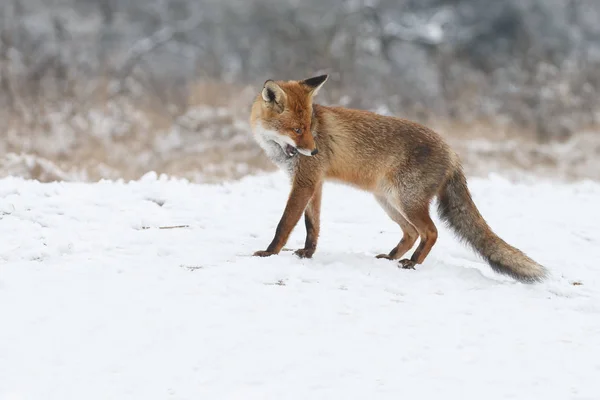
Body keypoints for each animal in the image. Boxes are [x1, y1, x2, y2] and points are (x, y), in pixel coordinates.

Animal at [248, 73, 548, 282]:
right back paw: (391, 257)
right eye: (298, 129)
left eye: (309, 129)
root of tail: (452, 151)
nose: (314, 151)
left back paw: (412, 263)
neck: (281, 149)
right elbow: (313, 226)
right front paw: (307, 254)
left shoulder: (305, 182)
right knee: (411, 232)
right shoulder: (314, 183)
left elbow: (285, 223)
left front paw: (269, 253)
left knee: (430, 232)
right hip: (389, 202)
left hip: (406, 201)